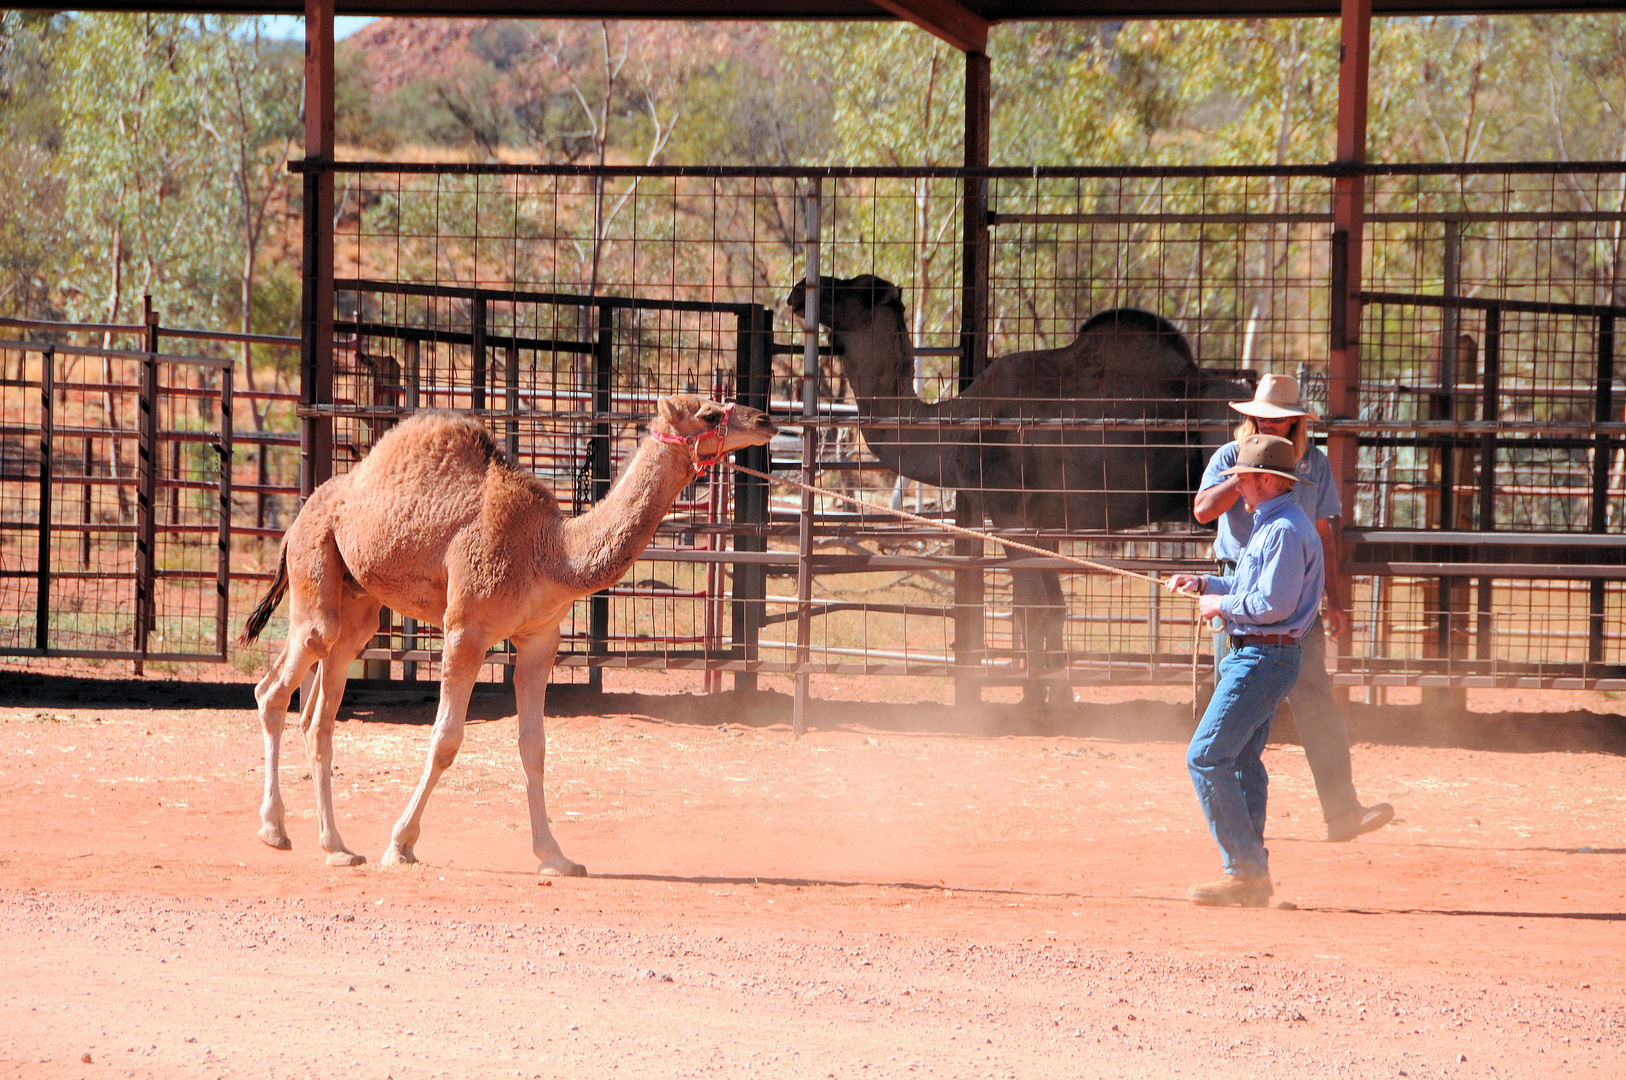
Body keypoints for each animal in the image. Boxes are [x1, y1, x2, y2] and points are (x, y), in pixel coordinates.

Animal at [237, 396, 777, 878]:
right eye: (709, 413)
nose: (765, 419)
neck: (554, 552)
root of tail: (299, 515)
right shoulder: (466, 628)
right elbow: (446, 740)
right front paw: (401, 844)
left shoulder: (540, 638)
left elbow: (534, 745)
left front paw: (556, 856)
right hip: (316, 572)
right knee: (276, 687)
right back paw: (276, 831)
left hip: (359, 606)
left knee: (318, 713)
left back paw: (336, 846)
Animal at [790, 274, 1242, 705]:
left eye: (861, 290)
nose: (800, 290)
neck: (957, 429)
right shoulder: (1047, 523)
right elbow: (1051, 606)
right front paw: (1050, 693)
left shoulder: (1010, 514)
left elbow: (1033, 607)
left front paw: (1038, 700)